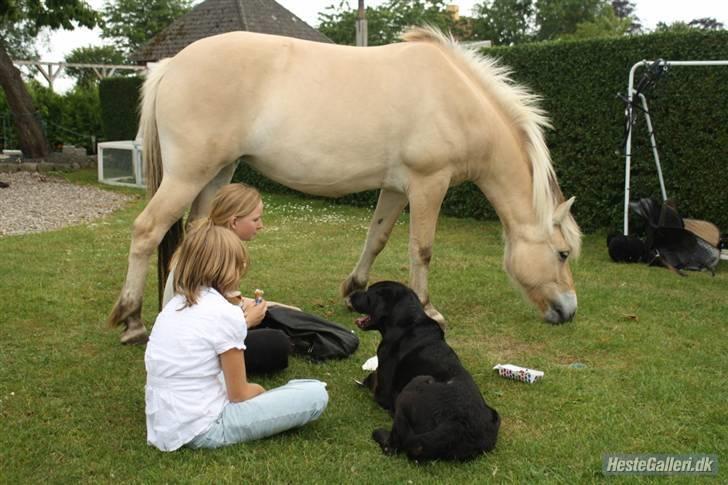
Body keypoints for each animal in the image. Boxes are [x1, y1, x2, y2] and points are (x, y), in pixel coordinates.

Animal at [108, 27, 584, 344]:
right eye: (562, 253)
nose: (569, 311)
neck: (457, 100)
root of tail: (170, 65)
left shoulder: (397, 188)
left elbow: (377, 237)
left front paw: (353, 289)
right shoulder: (429, 184)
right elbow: (422, 249)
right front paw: (429, 308)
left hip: (217, 174)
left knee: (198, 235)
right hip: (188, 175)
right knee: (147, 231)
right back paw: (133, 320)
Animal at [348, 278, 498, 460]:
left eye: (369, 293)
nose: (351, 295)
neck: (408, 323)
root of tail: (455, 426)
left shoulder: (382, 387)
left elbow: (374, 381)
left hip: (416, 384)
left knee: (395, 445)